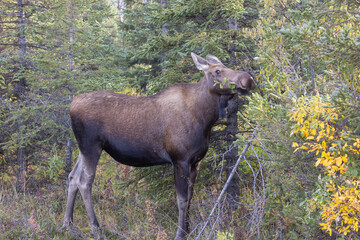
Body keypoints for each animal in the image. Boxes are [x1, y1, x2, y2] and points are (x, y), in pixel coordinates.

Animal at [64, 53, 256, 240]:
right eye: (217, 71)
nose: (247, 79)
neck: (205, 118)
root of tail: (72, 105)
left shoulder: (196, 162)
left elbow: (191, 197)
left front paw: (189, 230)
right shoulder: (180, 160)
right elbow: (182, 200)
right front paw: (180, 234)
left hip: (83, 149)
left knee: (73, 177)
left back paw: (68, 226)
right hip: (91, 146)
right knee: (84, 182)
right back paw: (95, 229)